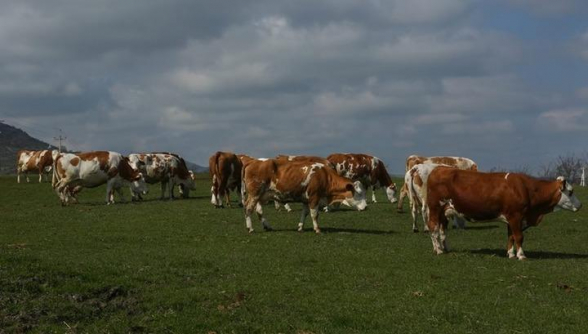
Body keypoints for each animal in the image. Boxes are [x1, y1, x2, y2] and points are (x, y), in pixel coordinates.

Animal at [424, 168, 580, 260]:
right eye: (571, 192)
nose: (580, 205)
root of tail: (438, 169)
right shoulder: (516, 216)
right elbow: (519, 237)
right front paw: (521, 255)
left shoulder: (512, 218)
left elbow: (511, 236)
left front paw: (510, 254)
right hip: (435, 208)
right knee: (433, 228)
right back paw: (438, 250)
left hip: (444, 212)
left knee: (441, 230)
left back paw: (444, 248)